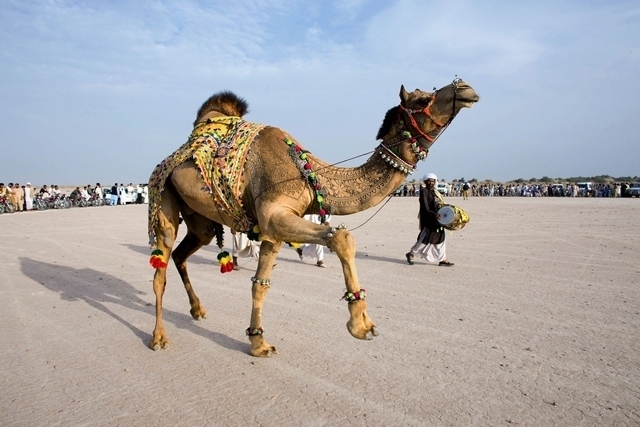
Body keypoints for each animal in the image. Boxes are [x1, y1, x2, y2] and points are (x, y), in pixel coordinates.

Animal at [148, 77, 478, 358]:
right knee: (161, 268)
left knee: (181, 254)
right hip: (163, 199)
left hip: (200, 220)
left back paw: (197, 310)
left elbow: (260, 283)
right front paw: (360, 325)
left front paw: (258, 343)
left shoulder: (273, 228)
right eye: (423, 98)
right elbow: (342, 237)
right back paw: (159, 337)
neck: (310, 174)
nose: (465, 88)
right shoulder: (275, 215)